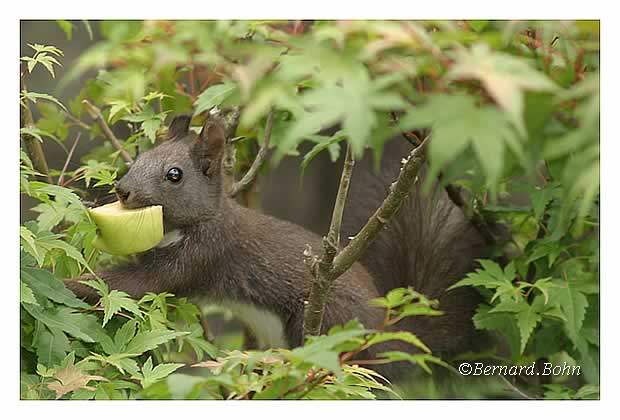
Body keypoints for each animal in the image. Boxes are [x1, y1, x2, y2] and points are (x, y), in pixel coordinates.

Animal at [64, 113, 490, 376]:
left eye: (174, 175)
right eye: (138, 157)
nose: (122, 191)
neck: (190, 224)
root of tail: (389, 337)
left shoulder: (203, 255)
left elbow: (142, 282)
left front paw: (70, 282)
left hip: (325, 322)